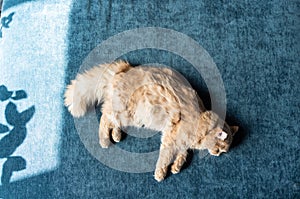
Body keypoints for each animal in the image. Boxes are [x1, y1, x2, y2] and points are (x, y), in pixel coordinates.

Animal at [64, 60, 238, 182]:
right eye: (219, 148)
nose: (217, 155)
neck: (200, 122)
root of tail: (124, 68)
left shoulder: (180, 143)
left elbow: (182, 156)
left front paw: (176, 168)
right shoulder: (170, 140)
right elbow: (165, 159)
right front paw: (160, 174)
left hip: (130, 117)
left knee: (112, 120)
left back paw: (116, 135)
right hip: (127, 113)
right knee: (105, 116)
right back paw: (105, 140)